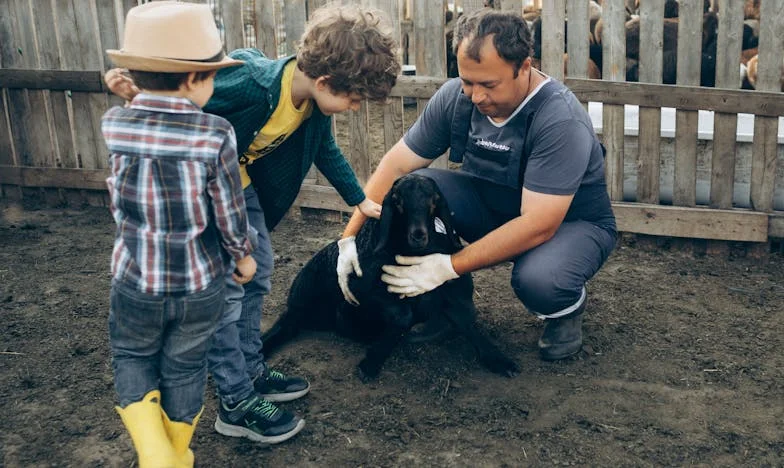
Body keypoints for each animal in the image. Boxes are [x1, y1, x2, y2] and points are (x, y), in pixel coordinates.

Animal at [264, 175, 520, 380]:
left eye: (434, 199)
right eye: (397, 200)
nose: (418, 235)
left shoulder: (451, 294)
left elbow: (468, 322)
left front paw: (499, 360)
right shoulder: (363, 290)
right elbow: (403, 315)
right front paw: (371, 362)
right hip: (302, 305)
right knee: (285, 326)